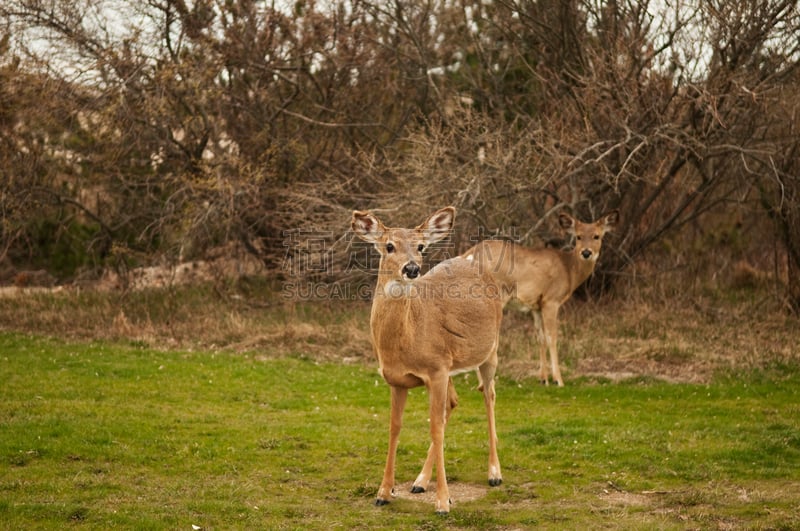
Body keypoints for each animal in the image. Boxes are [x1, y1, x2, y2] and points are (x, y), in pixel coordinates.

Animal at [352, 207, 504, 516]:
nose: (411, 268)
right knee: (453, 403)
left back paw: (494, 473)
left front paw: (443, 502)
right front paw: (383, 492)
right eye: (389, 246)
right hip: (451, 365)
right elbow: (395, 427)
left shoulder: (436, 370)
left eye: (421, 247)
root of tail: (473, 260)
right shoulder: (399, 379)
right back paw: (420, 481)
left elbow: (435, 428)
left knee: (489, 395)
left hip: (490, 350)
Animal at [462, 210, 620, 388]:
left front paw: (543, 378)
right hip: (494, 296)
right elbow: (552, 337)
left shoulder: (536, 305)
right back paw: (484, 382)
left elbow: (541, 338)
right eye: (578, 236)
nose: (586, 253)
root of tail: (469, 255)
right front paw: (558, 379)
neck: (568, 270)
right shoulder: (551, 300)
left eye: (597, 236)